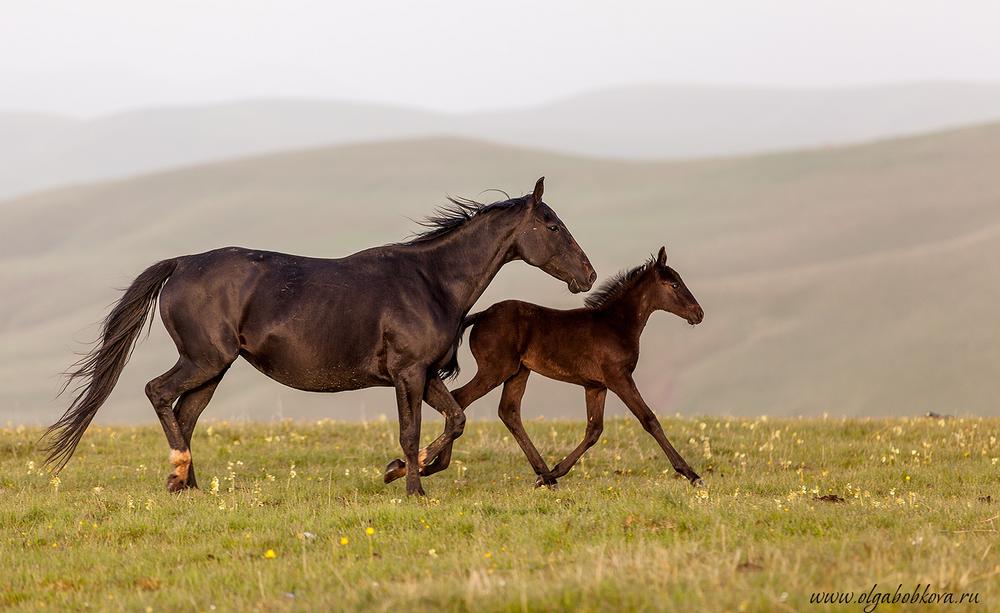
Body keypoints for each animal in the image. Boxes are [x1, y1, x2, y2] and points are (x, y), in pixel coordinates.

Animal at [45, 176, 592, 492]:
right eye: (552, 225)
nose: (586, 276)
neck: (430, 281)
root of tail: (180, 263)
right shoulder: (408, 373)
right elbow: (411, 430)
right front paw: (411, 486)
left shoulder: (426, 374)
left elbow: (454, 420)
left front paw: (401, 470)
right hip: (203, 359)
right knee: (158, 393)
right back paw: (178, 472)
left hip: (212, 368)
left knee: (186, 412)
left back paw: (189, 486)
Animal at [386, 246, 708, 486]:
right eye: (674, 284)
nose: (699, 313)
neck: (617, 324)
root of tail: (480, 315)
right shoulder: (619, 378)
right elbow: (649, 419)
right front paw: (690, 474)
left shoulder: (596, 385)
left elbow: (594, 430)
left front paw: (555, 472)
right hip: (495, 370)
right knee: (461, 399)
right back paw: (427, 466)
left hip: (519, 372)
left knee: (508, 412)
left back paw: (543, 474)